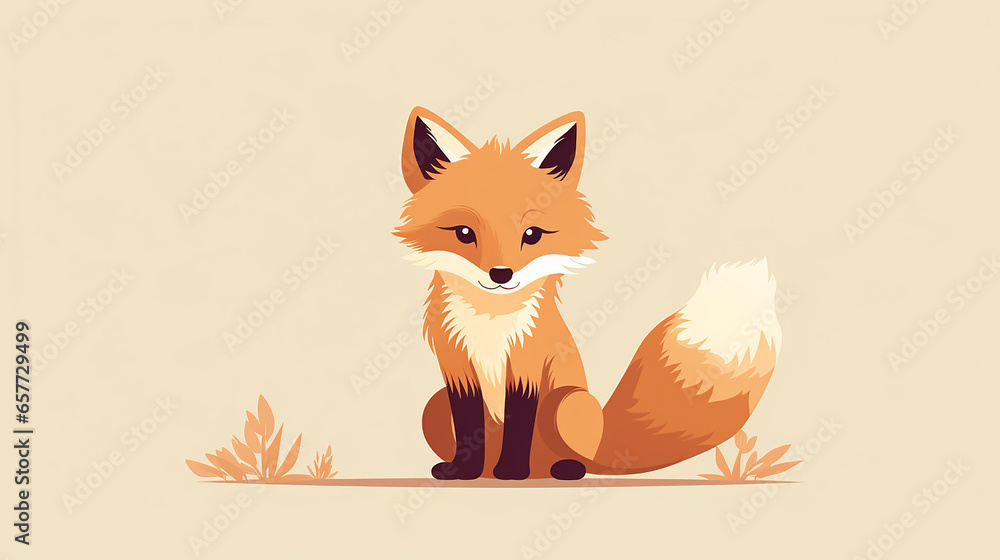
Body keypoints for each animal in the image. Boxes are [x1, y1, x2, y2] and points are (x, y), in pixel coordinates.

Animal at [394, 107, 782, 480]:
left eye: (532, 234)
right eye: (463, 232)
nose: (501, 275)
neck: (491, 320)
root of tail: (605, 438)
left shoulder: (527, 367)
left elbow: (519, 423)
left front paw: (513, 472)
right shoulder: (457, 369)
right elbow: (468, 428)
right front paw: (463, 472)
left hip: (566, 404)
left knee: (575, 460)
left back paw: (559, 470)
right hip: (434, 407)